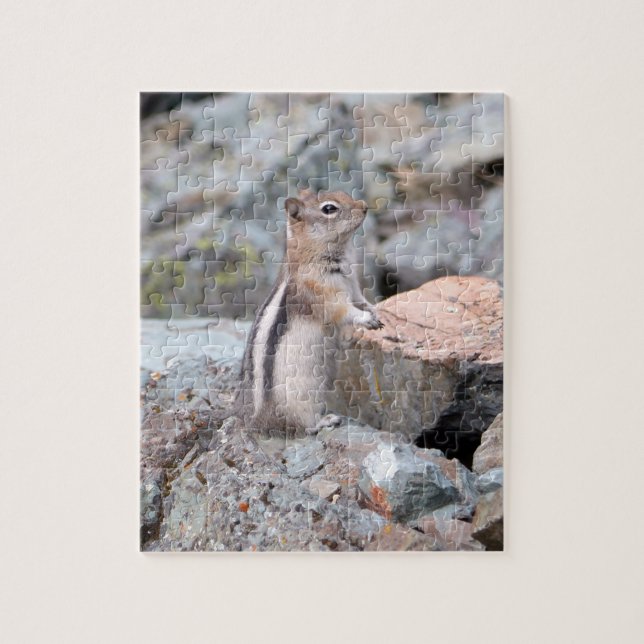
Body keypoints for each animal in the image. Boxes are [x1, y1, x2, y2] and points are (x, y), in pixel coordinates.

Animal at [239, 189, 382, 434]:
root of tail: (262, 421)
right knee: (304, 425)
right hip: (304, 396)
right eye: (329, 209)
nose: (364, 207)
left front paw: (376, 310)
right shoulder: (322, 294)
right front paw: (365, 319)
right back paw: (326, 420)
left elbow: (360, 300)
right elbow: (344, 311)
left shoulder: (353, 285)